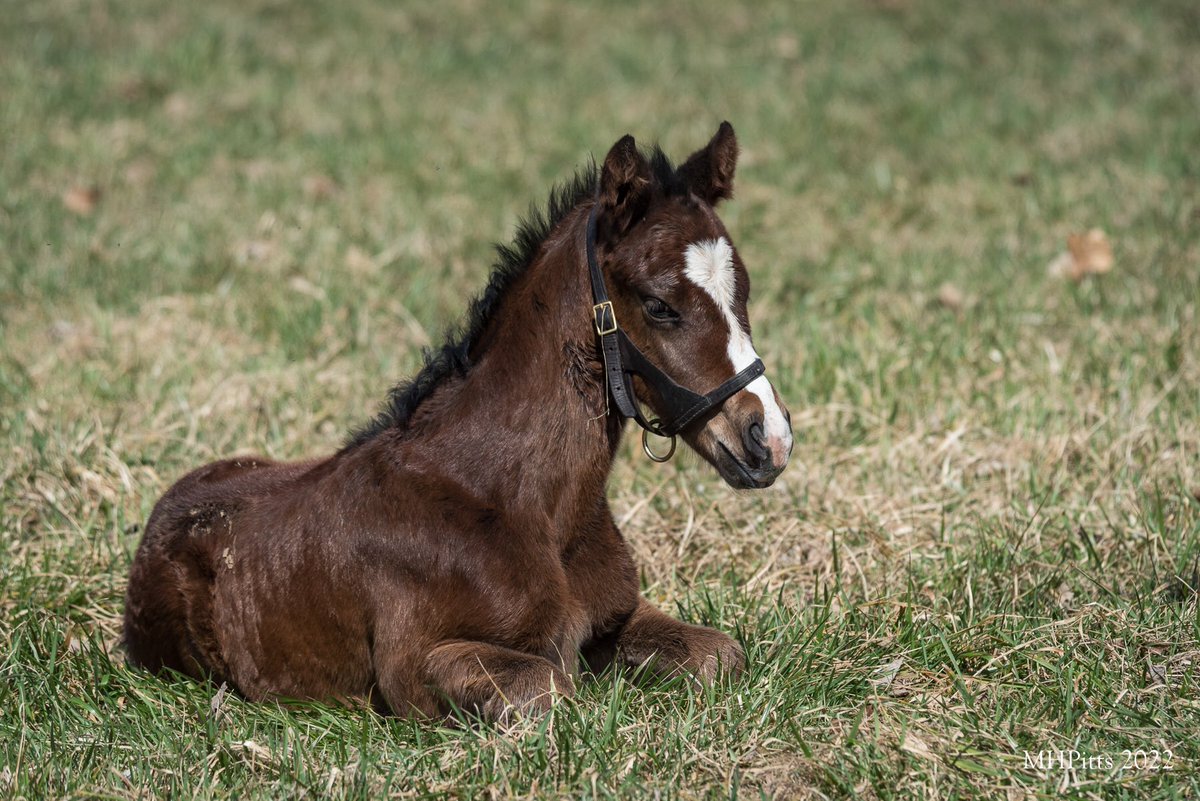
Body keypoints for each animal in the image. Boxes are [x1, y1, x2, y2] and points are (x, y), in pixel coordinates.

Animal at [123, 123, 794, 720]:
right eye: (659, 306)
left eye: (744, 292)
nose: (769, 439)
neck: (522, 503)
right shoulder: (415, 665)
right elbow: (548, 687)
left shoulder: (618, 615)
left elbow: (720, 656)